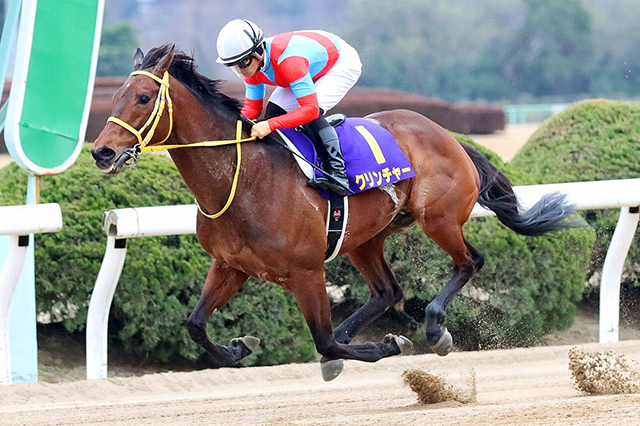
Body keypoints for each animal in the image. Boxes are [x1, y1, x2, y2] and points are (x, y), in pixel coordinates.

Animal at [90, 45, 576, 382]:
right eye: (115, 96)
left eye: (144, 97)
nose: (101, 152)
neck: (243, 179)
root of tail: (447, 134)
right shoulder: (230, 265)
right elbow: (194, 324)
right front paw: (238, 348)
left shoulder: (306, 271)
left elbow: (321, 335)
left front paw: (384, 346)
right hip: (366, 238)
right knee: (386, 291)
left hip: (437, 218)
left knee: (468, 261)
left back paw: (435, 327)